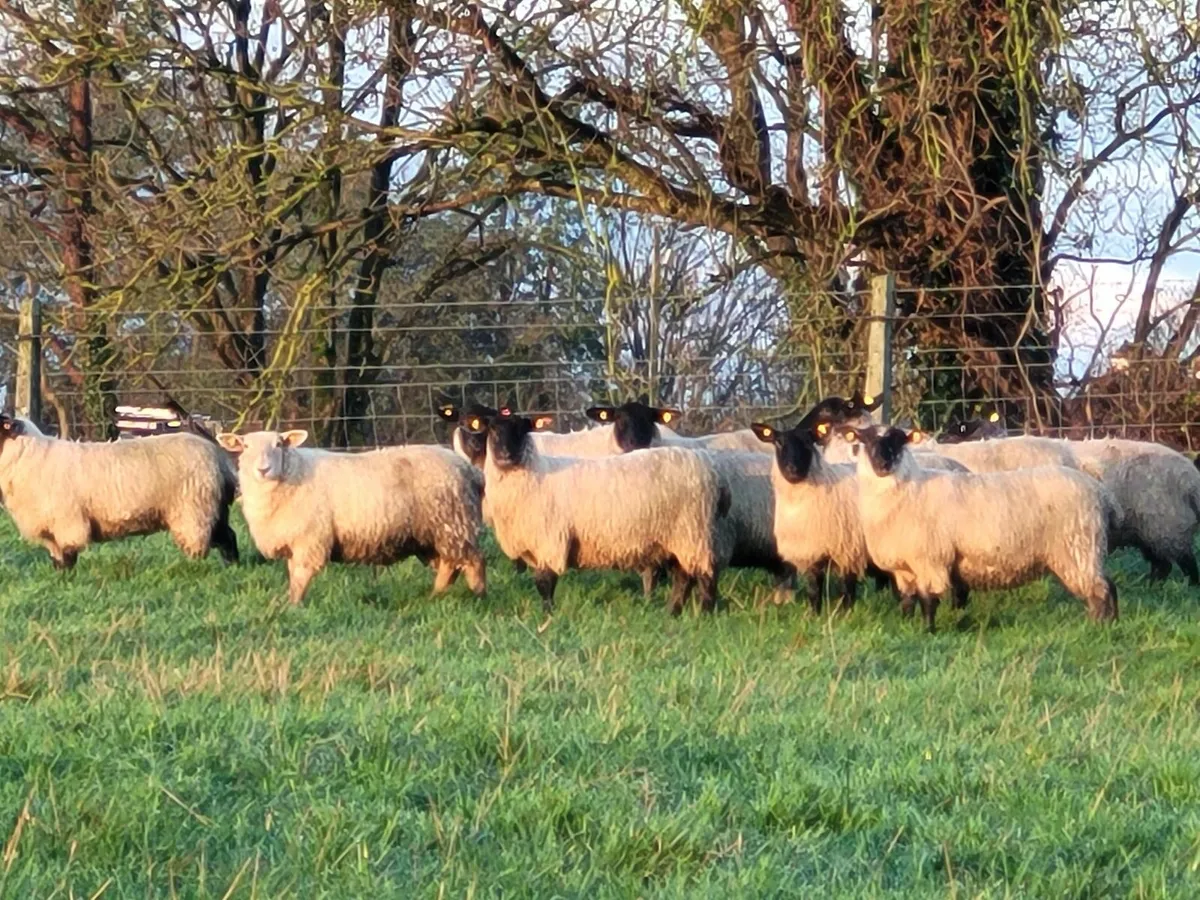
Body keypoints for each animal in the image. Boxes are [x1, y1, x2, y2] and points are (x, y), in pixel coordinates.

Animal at [0, 413, 238, 568]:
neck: (29, 458)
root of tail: (218, 457)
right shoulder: (49, 528)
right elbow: (58, 559)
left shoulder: (67, 522)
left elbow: (68, 555)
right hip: (214, 508)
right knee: (228, 535)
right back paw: (233, 566)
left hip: (197, 509)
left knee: (219, 539)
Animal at [217, 429, 485, 605]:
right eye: (245, 446)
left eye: (279, 444)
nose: (263, 469)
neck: (291, 473)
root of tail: (469, 468)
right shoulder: (296, 541)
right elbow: (293, 576)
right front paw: (290, 603)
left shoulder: (310, 539)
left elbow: (301, 577)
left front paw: (294, 606)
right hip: (435, 534)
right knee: (450, 566)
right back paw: (435, 597)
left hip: (454, 523)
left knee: (473, 563)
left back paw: (479, 597)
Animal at [473, 411, 731, 616]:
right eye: (492, 429)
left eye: (522, 429)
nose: (505, 454)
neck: (534, 474)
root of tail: (713, 472)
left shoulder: (550, 539)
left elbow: (545, 582)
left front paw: (548, 615)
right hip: (679, 537)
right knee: (684, 577)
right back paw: (673, 612)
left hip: (693, 531)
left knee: (706, 575)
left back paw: (705, 614)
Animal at [749, 419, 869, 613]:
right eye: (778, 442)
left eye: (808, 442)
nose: (792, 469)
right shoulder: (811, 548)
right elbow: (814, 588)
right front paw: (815, 614)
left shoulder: (848, 549)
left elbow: (847, 589)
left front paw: (846, 613)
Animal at [851, 425, 1119, 632]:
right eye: (867, 440)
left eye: (898, 441)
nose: (883, 464)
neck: (909, 490)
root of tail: (1099, 490)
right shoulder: (904, 568)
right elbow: (907, 601)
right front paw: (906, 627)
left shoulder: (930, 560)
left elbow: (928, 600)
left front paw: (928, 631)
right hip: (1086, 550)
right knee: (1109, 584)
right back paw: (1113, 623)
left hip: (1078, 547)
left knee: (1099, 591)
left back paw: (1097, 627)